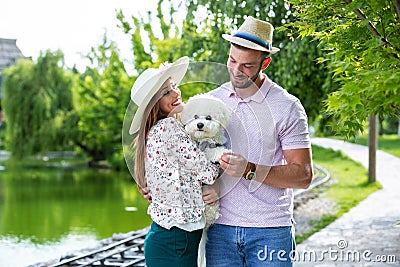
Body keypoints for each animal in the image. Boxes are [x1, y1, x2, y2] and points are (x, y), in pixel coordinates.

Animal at [180, 94, 231, 267]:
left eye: (209, 117)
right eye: (195, 117)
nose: (200, 124)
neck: (203, 140)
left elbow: (215, 149)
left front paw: (222, 153)